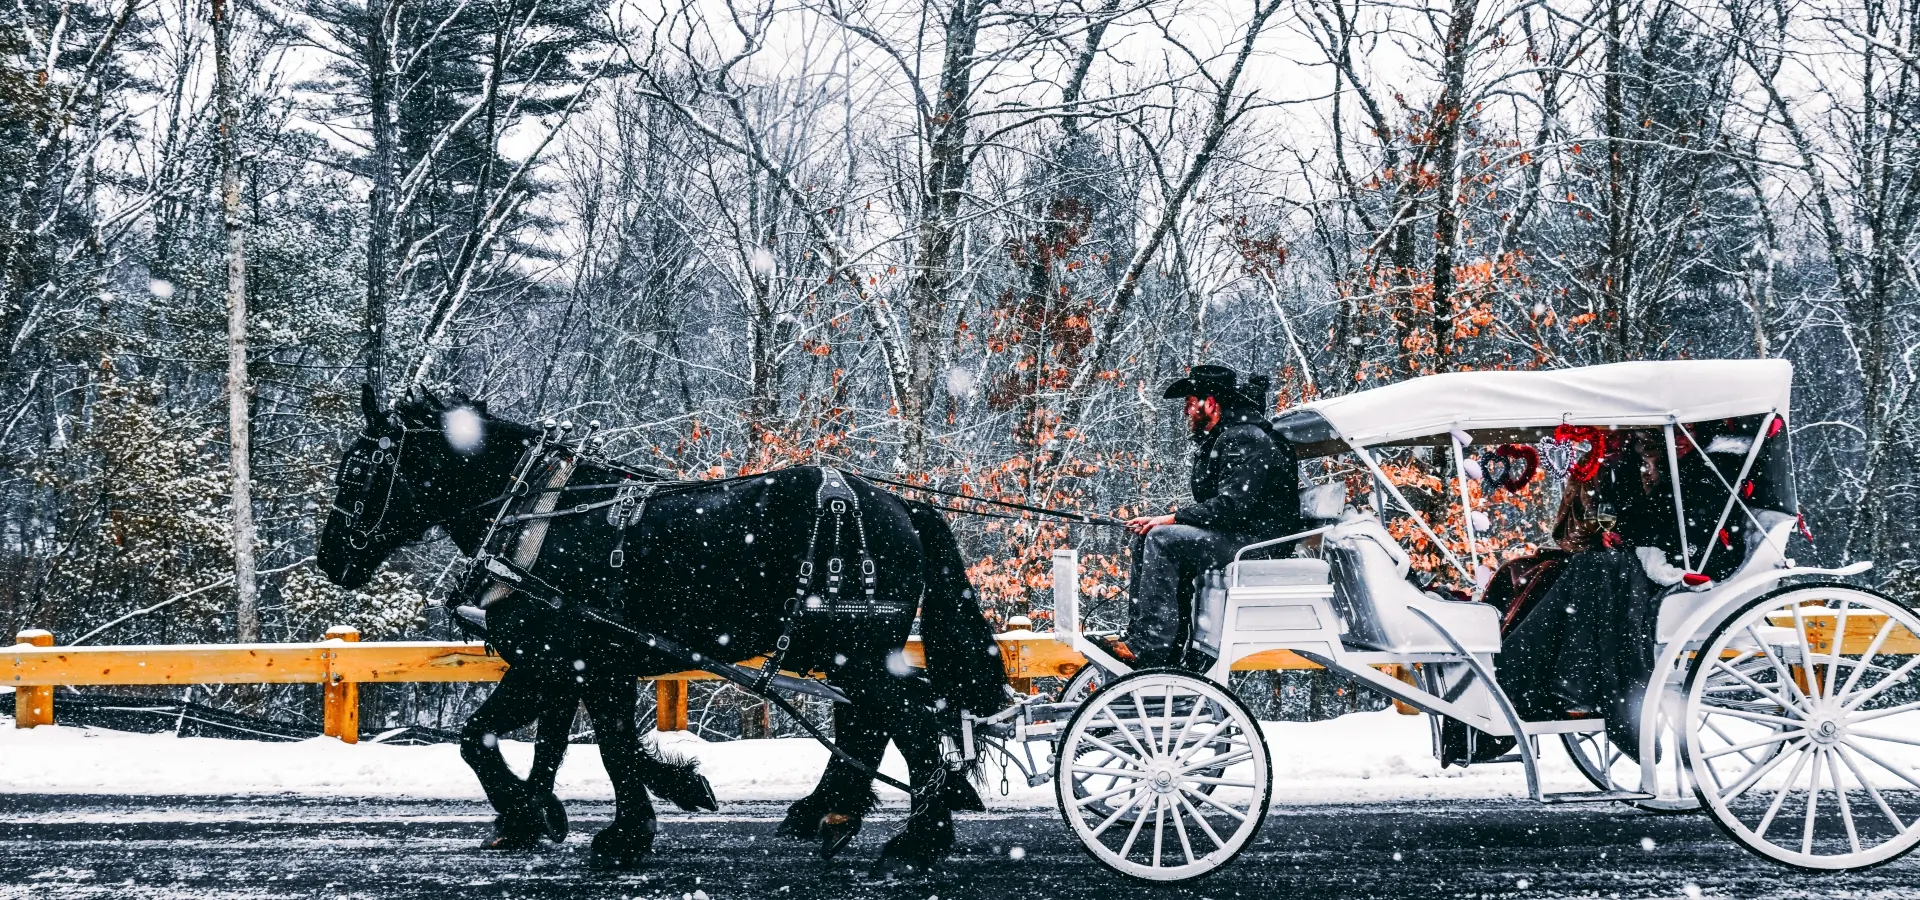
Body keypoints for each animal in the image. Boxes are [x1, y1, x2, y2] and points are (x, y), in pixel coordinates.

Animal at [314, 387, 1006, 871]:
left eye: (359, 470)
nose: (331, 558)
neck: (534, 513)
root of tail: (902, 506)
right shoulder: (558, 664)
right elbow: (529, 743)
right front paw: (539, 815)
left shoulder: (581, 663)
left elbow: (592, 745)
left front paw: (621, 831)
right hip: (839, 652)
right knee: (869, 723)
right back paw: (831, 817)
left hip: (854, 650)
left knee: (906, 719)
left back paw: (916, 841)